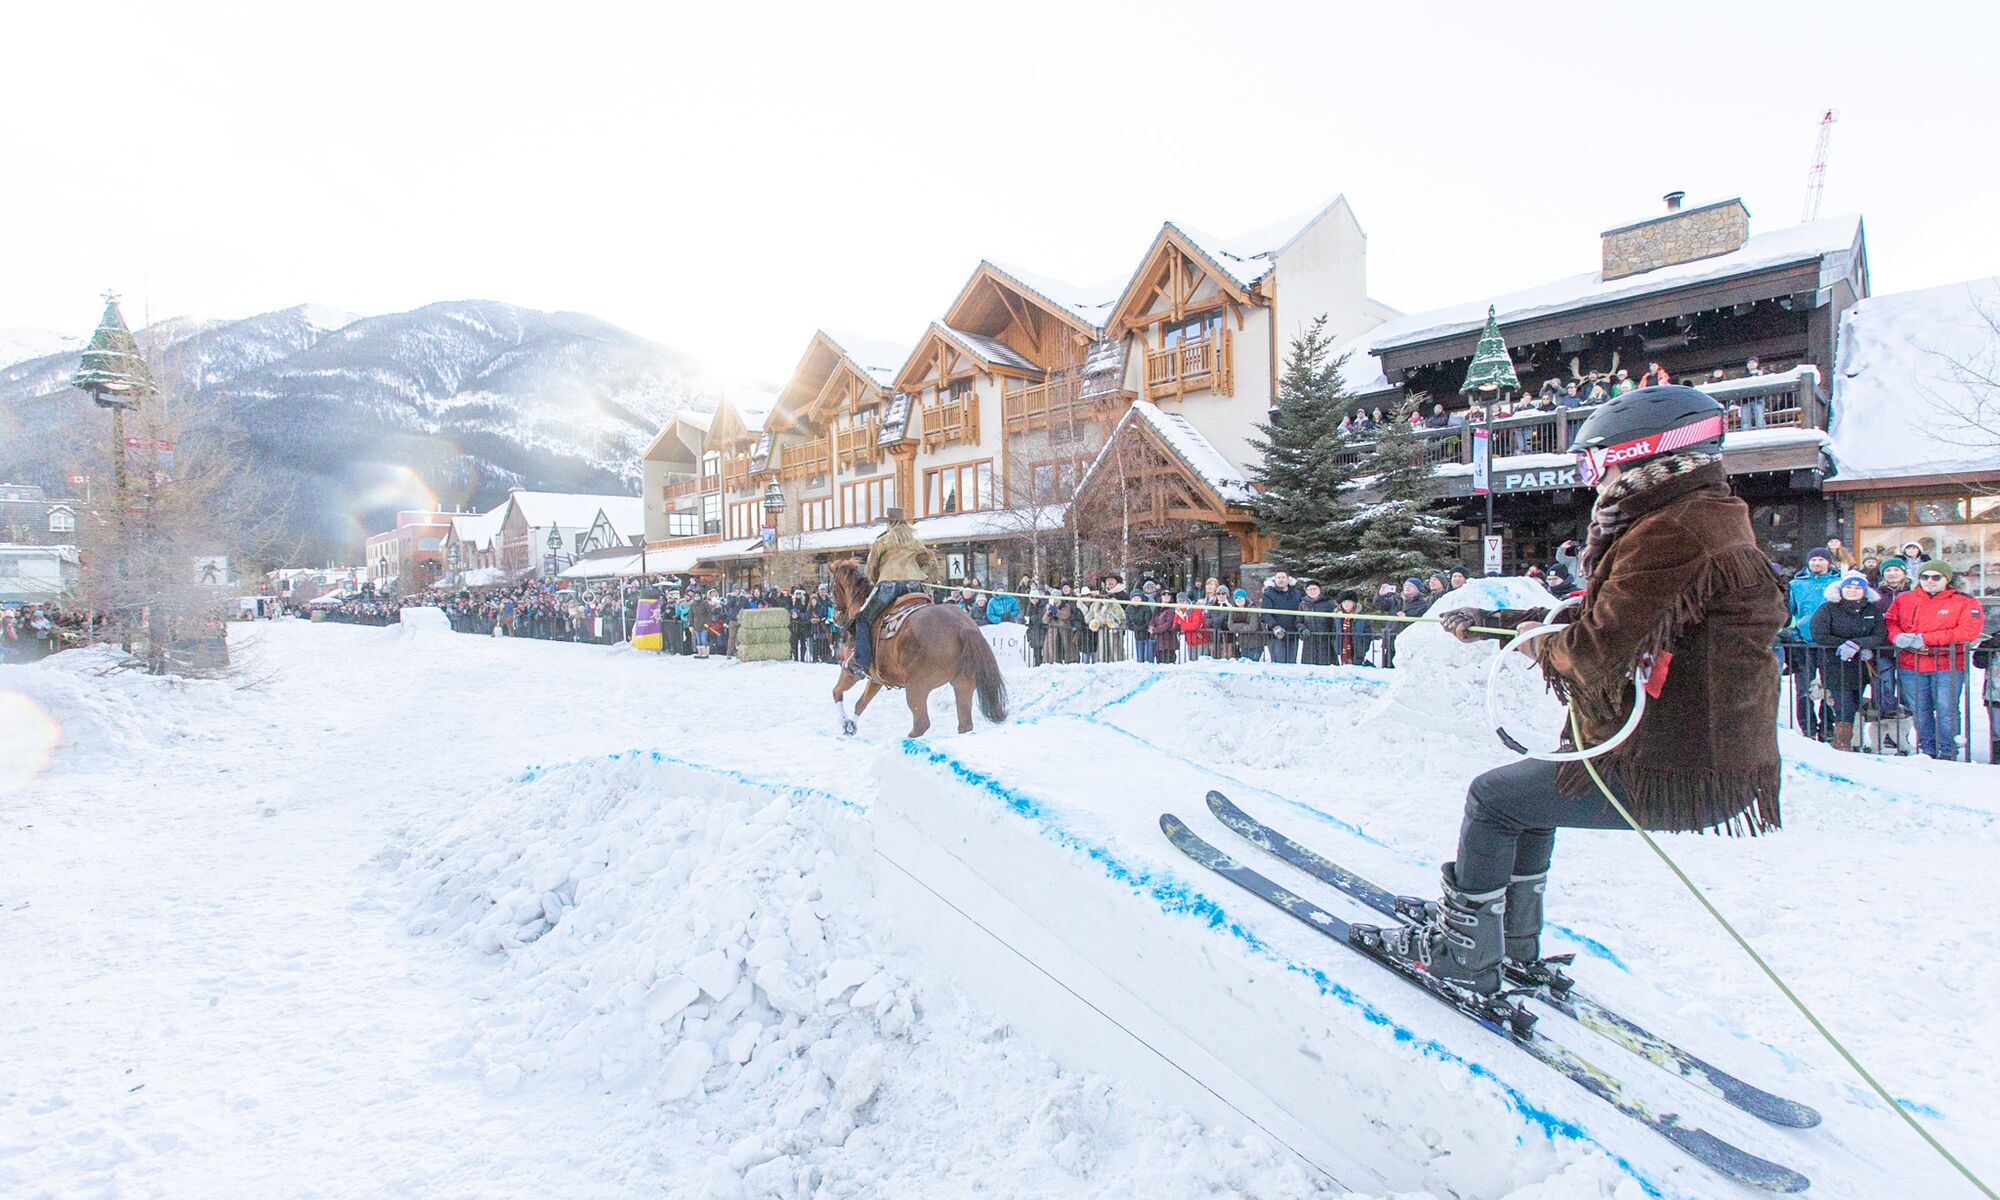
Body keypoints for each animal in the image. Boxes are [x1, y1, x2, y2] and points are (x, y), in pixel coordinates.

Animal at [828, 560, 1008, 736]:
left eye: (833, 588)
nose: (835, 616)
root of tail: (962, 626)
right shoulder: (876, 679)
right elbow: (861, 703)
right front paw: (850, 724)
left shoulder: (851, 670)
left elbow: (837, 691)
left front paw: (844, 722)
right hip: (963, 683)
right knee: (965, 723)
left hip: (916, 688)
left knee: (921, 723)